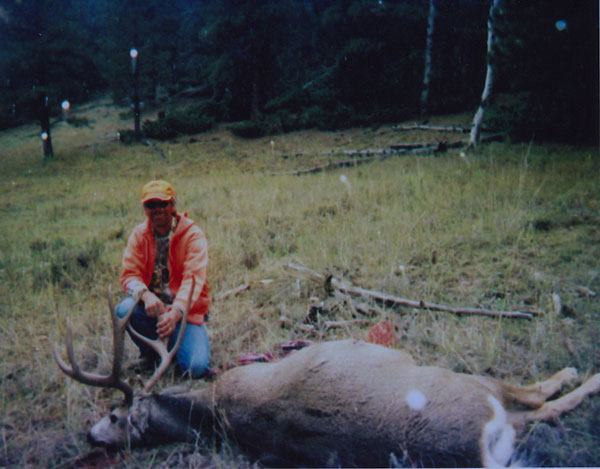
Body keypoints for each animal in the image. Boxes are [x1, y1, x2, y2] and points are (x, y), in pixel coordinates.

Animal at [54, 286, 596, 464]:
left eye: (114, 414)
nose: (89, 435)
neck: (215, 409)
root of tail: (483, 443)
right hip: (465, 382)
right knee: (538, 400)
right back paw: (583, 374)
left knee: (537, 404)